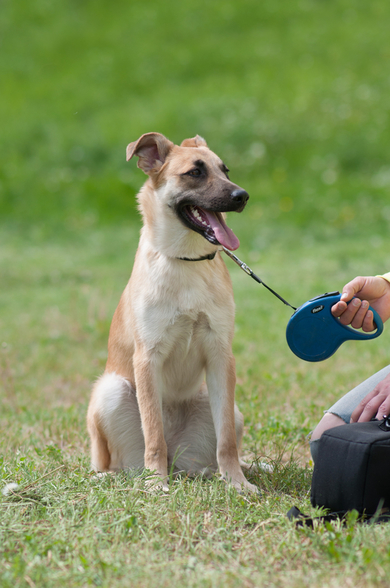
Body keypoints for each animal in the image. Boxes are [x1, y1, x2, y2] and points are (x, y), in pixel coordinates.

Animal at [86, 133, 256, 492]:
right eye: (195, 172)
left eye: (225, 170)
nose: (242, 196)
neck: (186, 261)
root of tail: (176, 462)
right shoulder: (147, 357)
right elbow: (153, 432)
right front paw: (155, 485)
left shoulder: (221, 355)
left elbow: (226, 443)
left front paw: (237, 483)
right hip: (111, 391)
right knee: (116, 461)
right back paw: (125, 474)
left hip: (229, 410)